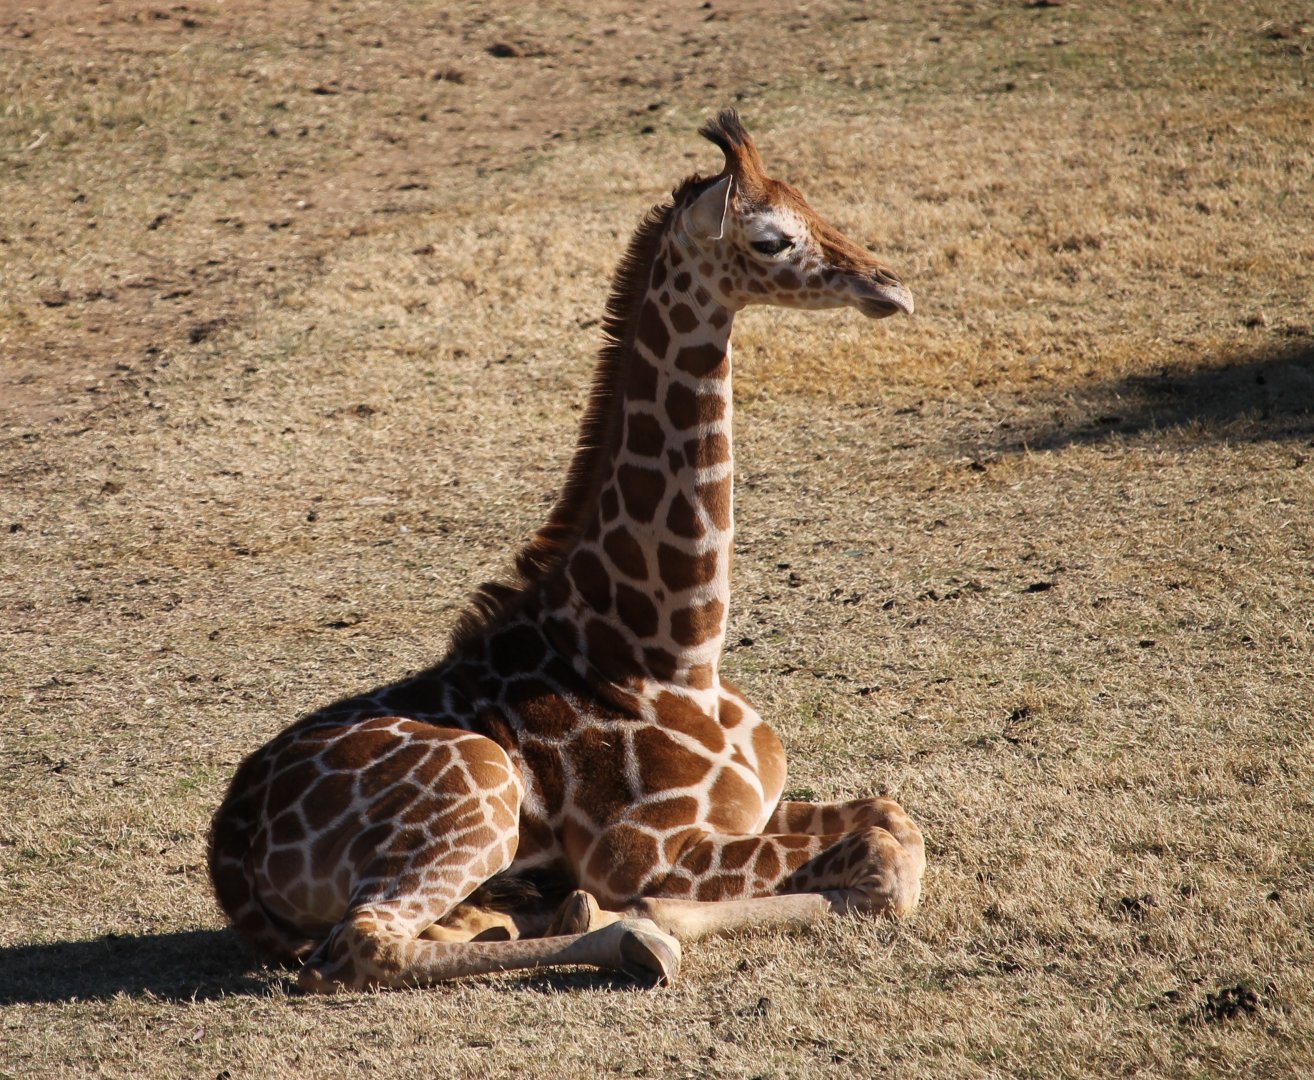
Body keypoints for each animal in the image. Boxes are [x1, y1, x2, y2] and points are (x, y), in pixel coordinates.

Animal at [208, 110, 923, 992]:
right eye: (772, 239)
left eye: (814, 207)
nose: (891, 285)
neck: (671, 652)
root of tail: (229, 855)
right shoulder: (643, 851)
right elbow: (881, 859)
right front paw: (648, 918)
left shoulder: (756, 805)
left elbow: (894, 819)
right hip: (478, 793)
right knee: (360, 944)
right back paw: (626, 939)